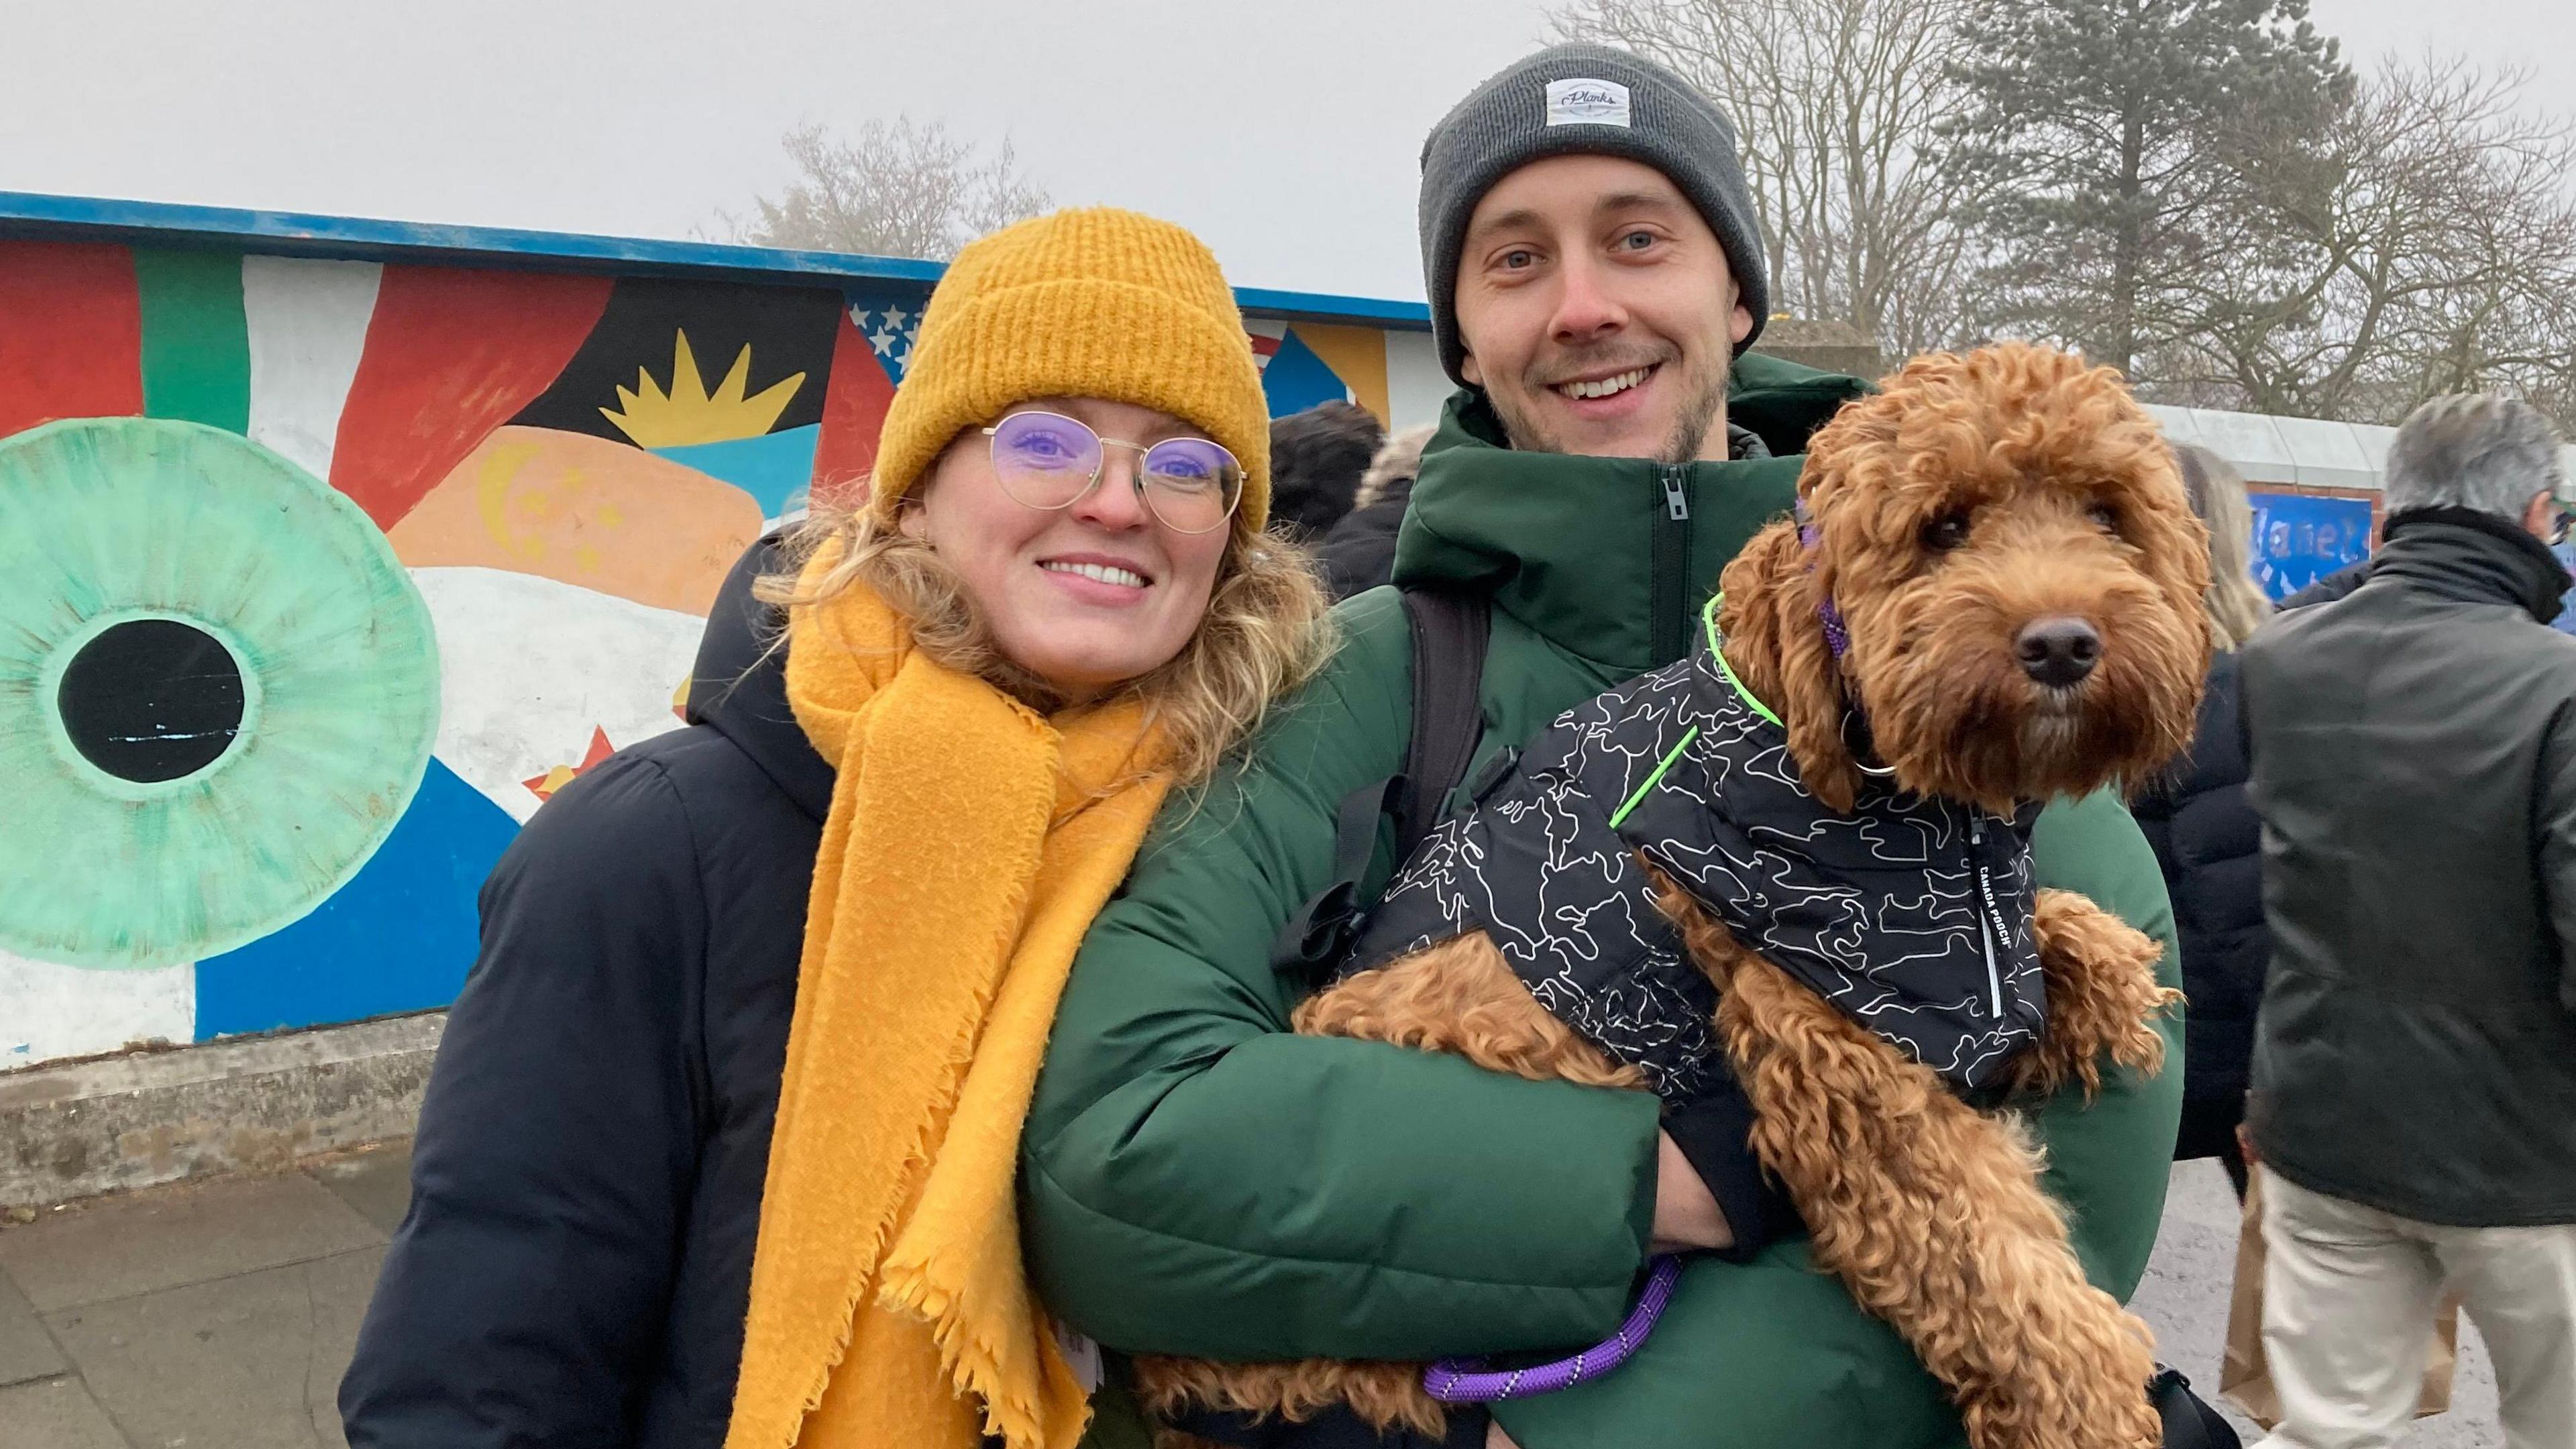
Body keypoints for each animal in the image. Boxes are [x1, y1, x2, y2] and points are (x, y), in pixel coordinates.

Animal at [1143, 340, 2215, 1444]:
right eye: (1943, 527)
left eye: (2106, 514)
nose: (2062, 644)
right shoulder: (1844, 1070)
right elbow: (1999, 1273)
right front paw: (2092, 1407)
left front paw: (2092, 968)